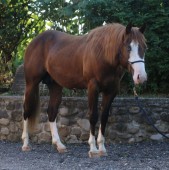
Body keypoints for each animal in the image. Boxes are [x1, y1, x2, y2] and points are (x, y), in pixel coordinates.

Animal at [21, 22, 147, 158]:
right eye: (128, 47)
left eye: (144, 48)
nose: (141, 77)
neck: (103, 54)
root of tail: (34, 41)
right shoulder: (92, 88)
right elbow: (93, 116)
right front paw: (93, 149)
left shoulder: (110, 92)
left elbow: (104, 117)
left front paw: (102, 148)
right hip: (31, 83)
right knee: (27, 110)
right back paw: (25, 144)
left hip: (55, 85)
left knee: (52, 112)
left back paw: (59, 145)